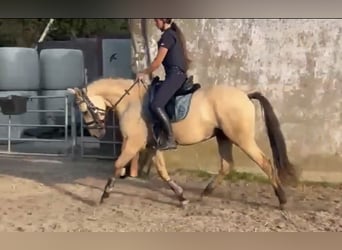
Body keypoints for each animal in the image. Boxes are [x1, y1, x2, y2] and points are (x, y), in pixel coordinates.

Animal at [68, 75, 298, 209]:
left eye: (84, 109)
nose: (97, 133)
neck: (131, 101)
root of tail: (245, 95)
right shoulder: (153, 146)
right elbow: (162, 172)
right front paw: (181, 197)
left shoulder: (132, 144)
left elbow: (117, 165)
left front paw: (104, 196)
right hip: (223, 137)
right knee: (226, 165)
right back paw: (204, 194)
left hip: (241, 138)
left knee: (265, 163)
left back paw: (282, 199)